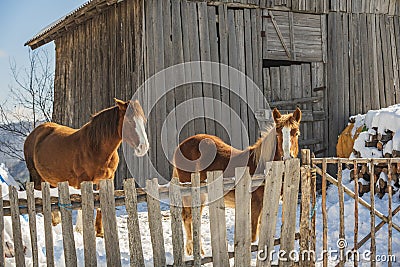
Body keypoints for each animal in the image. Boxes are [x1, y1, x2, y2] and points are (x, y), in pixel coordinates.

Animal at [23, 98, 148, 237]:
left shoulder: (106, 179)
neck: (95, 147)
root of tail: (34, 133)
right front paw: (81, 230)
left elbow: (100, 202)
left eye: (143, 120)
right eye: (129, 121)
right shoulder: (83, 180)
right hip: (37, 178)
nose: (143, 147)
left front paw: (99, 232)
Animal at [172, 107, 300, 255]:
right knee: (188, 218)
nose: (287, 158)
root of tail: (180, 146)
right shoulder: (254, 205)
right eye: (278, 134)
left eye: (296, 133)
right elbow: (253, 237)